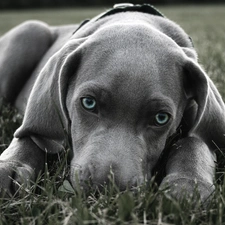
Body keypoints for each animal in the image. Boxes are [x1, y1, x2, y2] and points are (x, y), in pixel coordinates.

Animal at [0, 3, 225, 200]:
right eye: (88, 103)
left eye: (161, 118)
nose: (106, 188)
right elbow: (32, 134)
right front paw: (10, 166)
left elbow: (196, 140)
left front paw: (188, 184)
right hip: (29, 31)